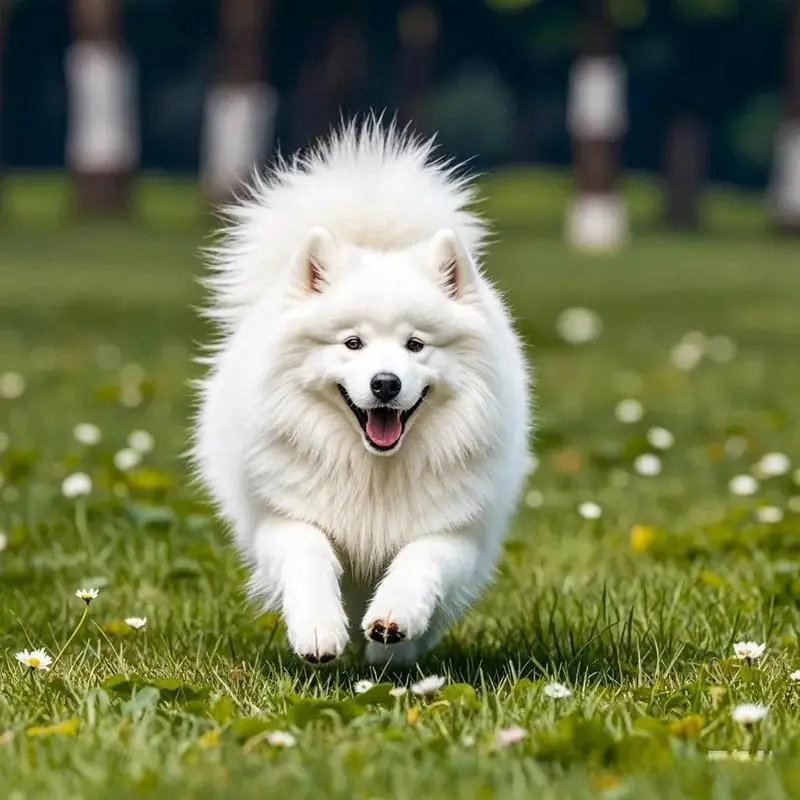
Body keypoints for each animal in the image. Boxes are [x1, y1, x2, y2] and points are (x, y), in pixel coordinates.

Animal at [190, 119, 532, 664]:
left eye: (416, 344)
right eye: (353, 343)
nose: (385, 383)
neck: (375, 470)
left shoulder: (455, 530)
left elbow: (419, 560)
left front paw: (394, 623)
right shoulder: (284, 517)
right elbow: (309, 554)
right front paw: (317, 630)